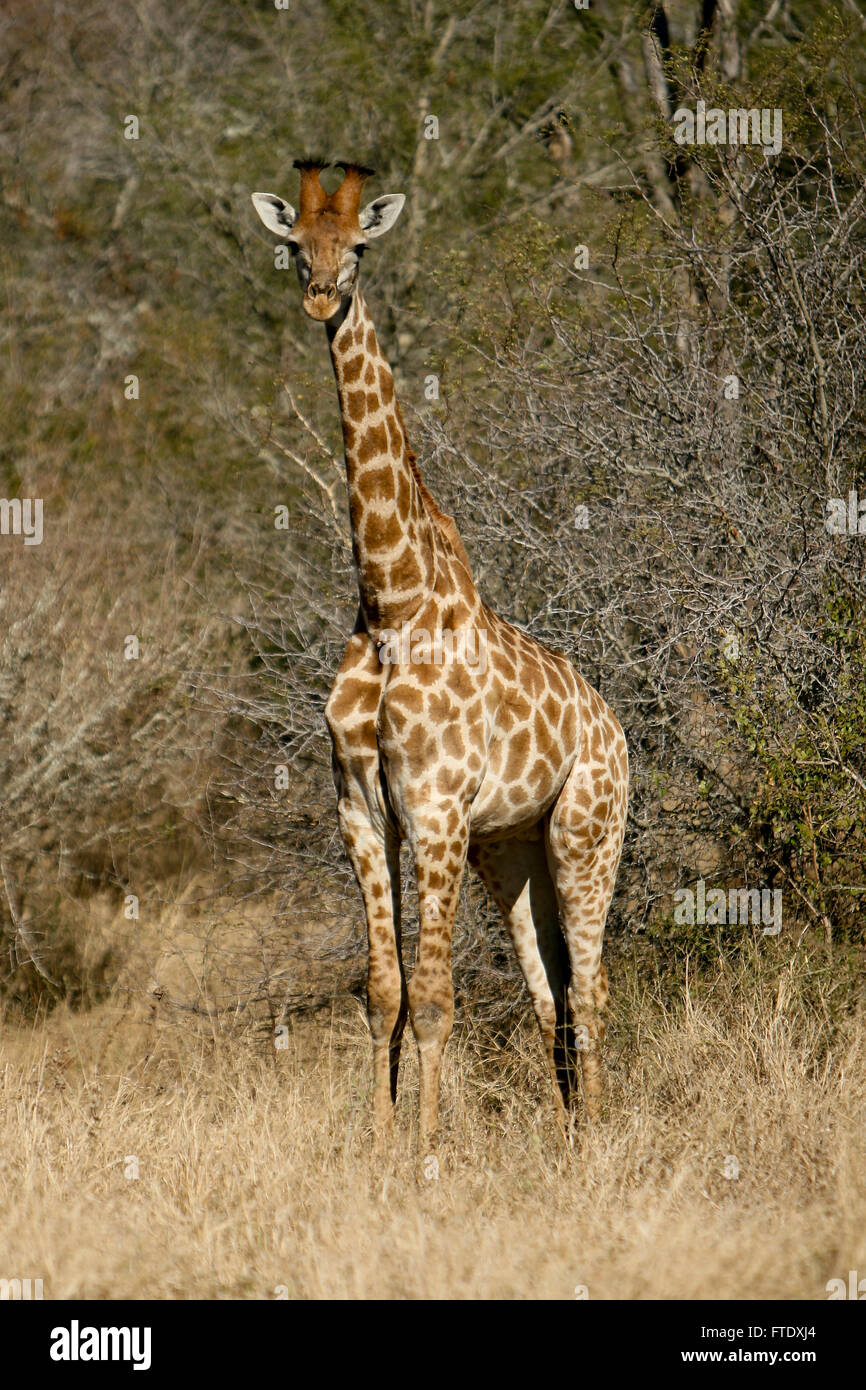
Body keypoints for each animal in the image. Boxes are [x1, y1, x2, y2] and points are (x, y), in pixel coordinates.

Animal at [251, 160, 629, 1148]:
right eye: (294, 243)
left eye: (359, 247)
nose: (320, 296)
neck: (392, 601)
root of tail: (617, 728)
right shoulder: (360, 804)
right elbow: (384, 991)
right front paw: (382, 1145)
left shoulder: (435, 809)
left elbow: (434, 997)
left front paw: (425, 1155)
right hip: (514, 851)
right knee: (552, 995)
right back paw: (568, 1137)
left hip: (588, 834)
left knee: (594, 990)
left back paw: (598, 1139)